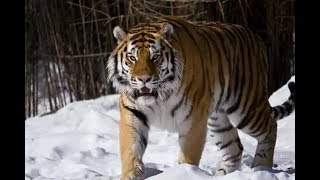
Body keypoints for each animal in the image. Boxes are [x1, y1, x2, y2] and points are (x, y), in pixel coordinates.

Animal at [107, 16, 296, 179]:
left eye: (156, 57)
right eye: (132, 57)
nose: (143, 79)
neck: (159, 97)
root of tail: (256, 38)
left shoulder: (193, 119)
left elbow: (188, 156)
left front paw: (183, 174)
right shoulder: (133, 112)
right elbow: (130, 148)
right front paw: (131, 174)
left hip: (246, 108)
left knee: (271, 127)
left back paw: (261, 167)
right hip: (218, 120)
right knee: (234, 148)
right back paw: (222, 175)